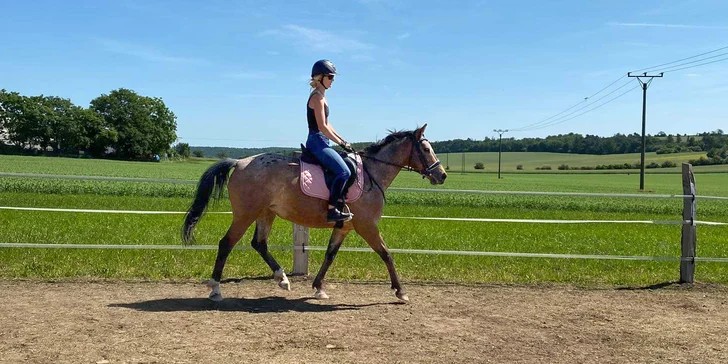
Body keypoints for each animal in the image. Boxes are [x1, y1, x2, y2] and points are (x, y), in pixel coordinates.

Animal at [182, 124, 446, 302]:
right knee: (226, 243)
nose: (441, 175)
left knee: (259, 243)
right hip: (245, 214)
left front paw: (319, 288)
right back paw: (216, 289)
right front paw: (401, 291)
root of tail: (239, 162)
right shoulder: (367, 226)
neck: (372, 174)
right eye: (425, 148)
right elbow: (386, 254)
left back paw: (282, 279)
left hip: (266, 213)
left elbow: (330, 255)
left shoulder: (345, 227)